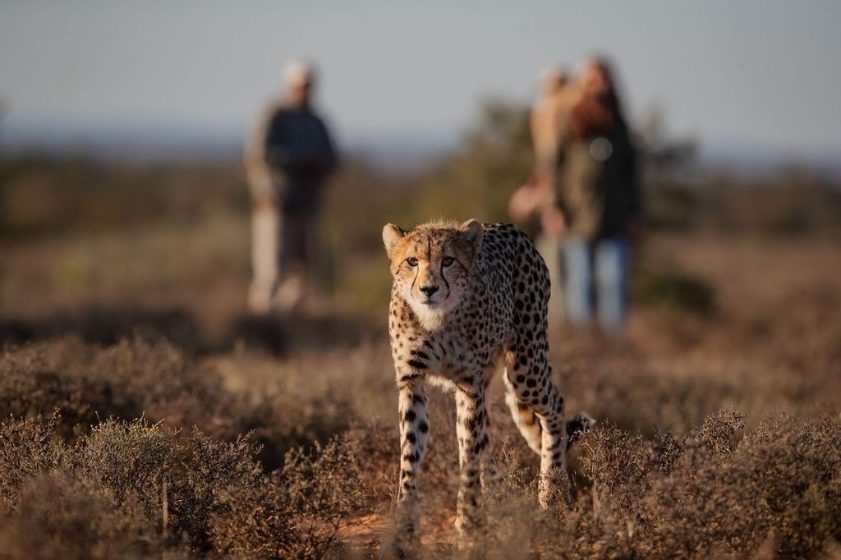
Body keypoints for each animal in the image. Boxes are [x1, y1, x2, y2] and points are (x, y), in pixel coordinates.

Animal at [382, 218, 593, 543]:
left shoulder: (470, 385)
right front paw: (405, 529)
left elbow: (469, 455)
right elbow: (411, 456)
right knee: (486, 440)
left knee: (555, 405)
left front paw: (467, 526)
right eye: (412, 261)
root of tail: (509, 227)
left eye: (448, 261)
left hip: (524, 366)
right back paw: (496, 502)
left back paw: (550, 495)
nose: (428, 289)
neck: (437, 319)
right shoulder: (412, 382)